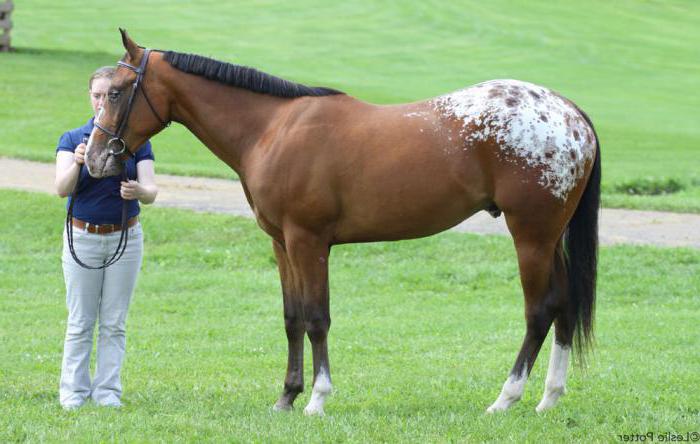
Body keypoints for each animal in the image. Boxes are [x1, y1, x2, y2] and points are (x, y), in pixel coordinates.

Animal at [86, 30, 600, 416]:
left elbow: (317, 318)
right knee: (564, 306)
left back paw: (505, 398)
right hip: (549, 237)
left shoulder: (308, 241)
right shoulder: (282, 244)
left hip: (530, 235)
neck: (272, 129)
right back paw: (549, 398)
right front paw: (287, 397)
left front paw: (317, 398)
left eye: (115, 92)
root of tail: (570, 112)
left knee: (539, 311)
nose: (93, 159)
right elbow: (292, 317)